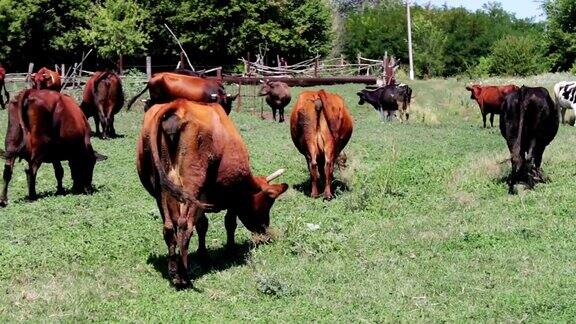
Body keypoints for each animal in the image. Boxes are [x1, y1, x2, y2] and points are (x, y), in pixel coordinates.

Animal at [136, 98, 288, 286]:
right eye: (267, 203)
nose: (264, 230)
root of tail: (178, 104)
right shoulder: (232, 195)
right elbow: (230, 223)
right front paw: (230, 251)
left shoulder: (202, 199)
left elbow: (203, 225)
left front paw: (204, 255)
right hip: (191, 187)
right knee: (185, 226)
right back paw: (183, 276)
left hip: (162, 190)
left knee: (169, 228)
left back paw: (172, 271)